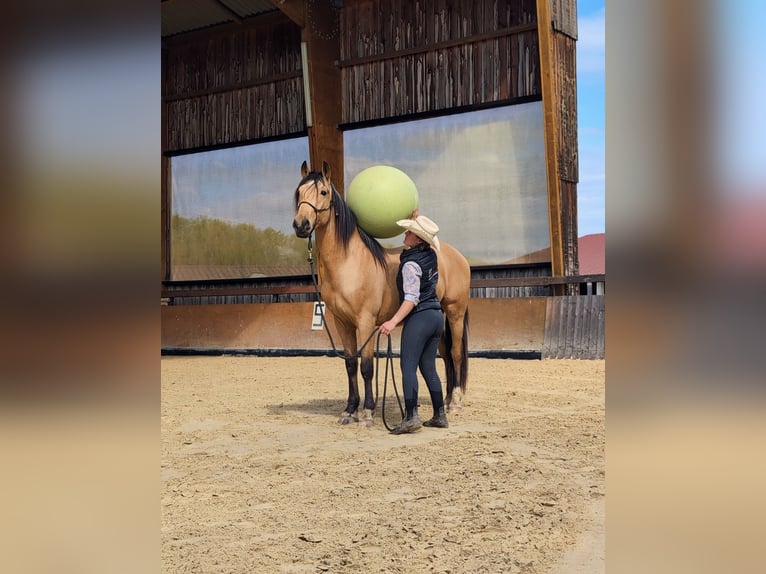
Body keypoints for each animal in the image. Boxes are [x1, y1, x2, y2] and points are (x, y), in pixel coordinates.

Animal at [292, 160, 470, 427]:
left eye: (323, 192)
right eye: (298, 192)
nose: (301, 225)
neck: (349, 262)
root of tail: (456, 256)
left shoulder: (365, 322)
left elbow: (367, 367)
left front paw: (367, 413)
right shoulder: (342, 323)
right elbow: (350, 364)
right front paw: (349, 410)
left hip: (455, 313)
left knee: (456, 353)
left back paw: (456, 404)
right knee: (446, 357)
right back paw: (447, 401)